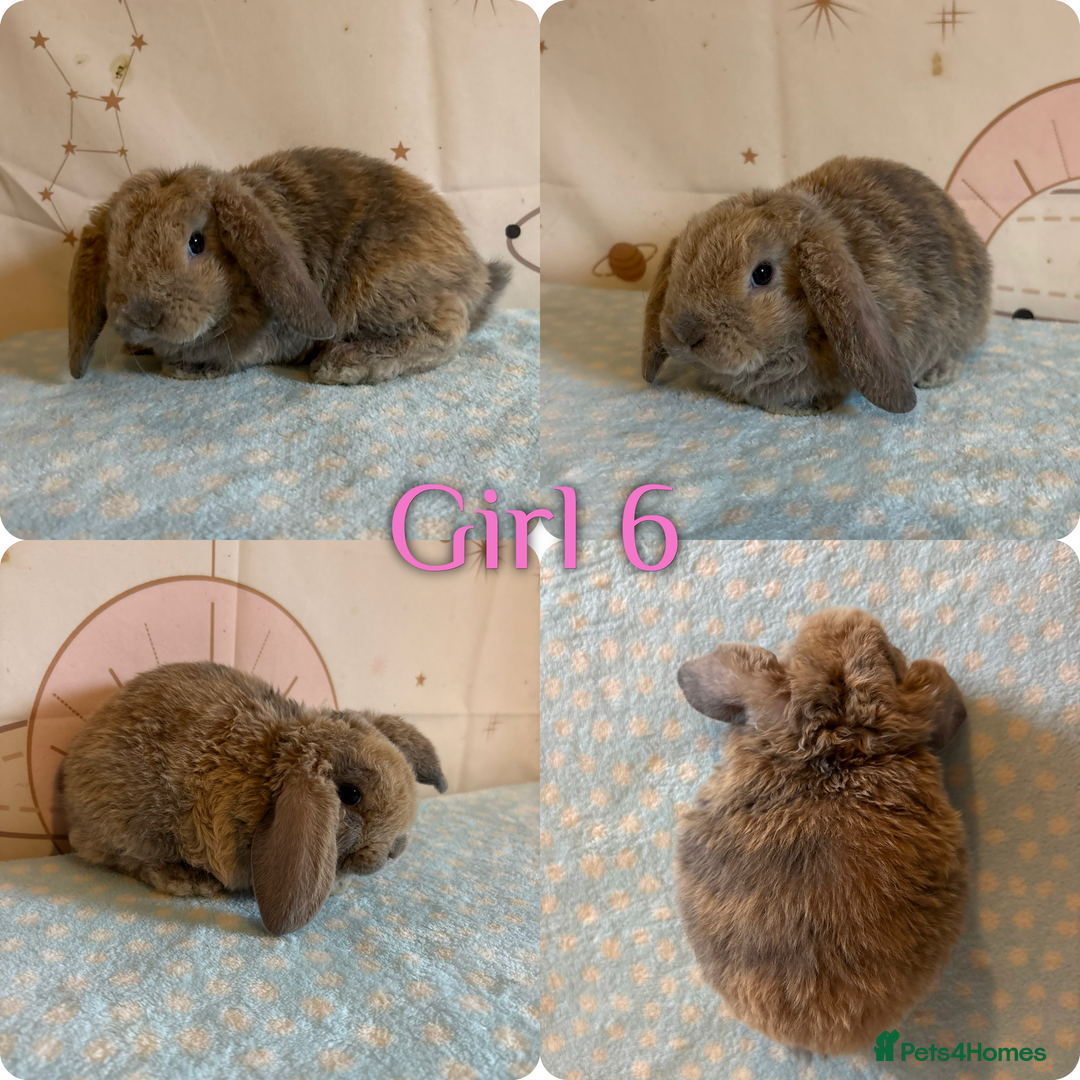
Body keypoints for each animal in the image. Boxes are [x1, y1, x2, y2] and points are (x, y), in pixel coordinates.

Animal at [60, 661, 447, 935]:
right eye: (351, 794)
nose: (398, 848)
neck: (272, 771)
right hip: (135, 828)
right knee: (128, 860)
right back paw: (190, 881)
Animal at [67, 146, 511, 385]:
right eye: (114, 256)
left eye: (197, 243)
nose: (143, 315)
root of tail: (478, 274)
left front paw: (187, 368)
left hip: (383, 288)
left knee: (448, 328)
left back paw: (345, 364)